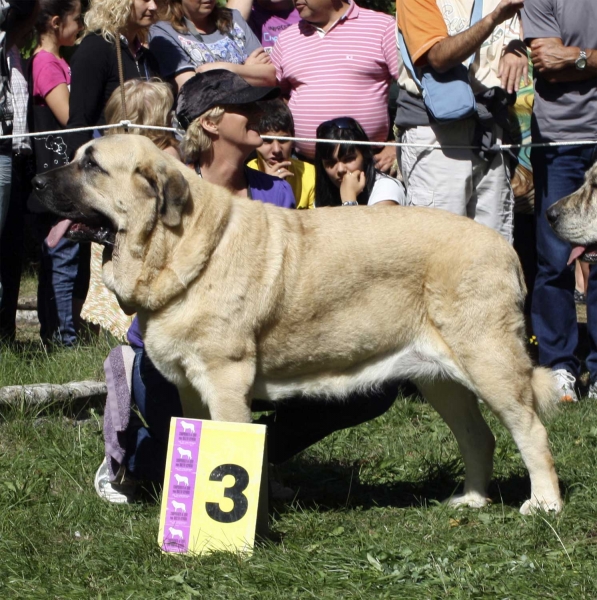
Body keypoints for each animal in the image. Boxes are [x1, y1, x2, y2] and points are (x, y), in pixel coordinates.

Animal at [32, 136, 564, 516]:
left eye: (91, 165)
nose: (35, 181)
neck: (174, 244)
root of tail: (505, 247)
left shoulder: (225, 379)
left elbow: (229, 443)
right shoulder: (188, 386)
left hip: (489, 360)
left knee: (531, 430)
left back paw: (544, 504)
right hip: (441, 380)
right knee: (479, 436)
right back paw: (472, 500)